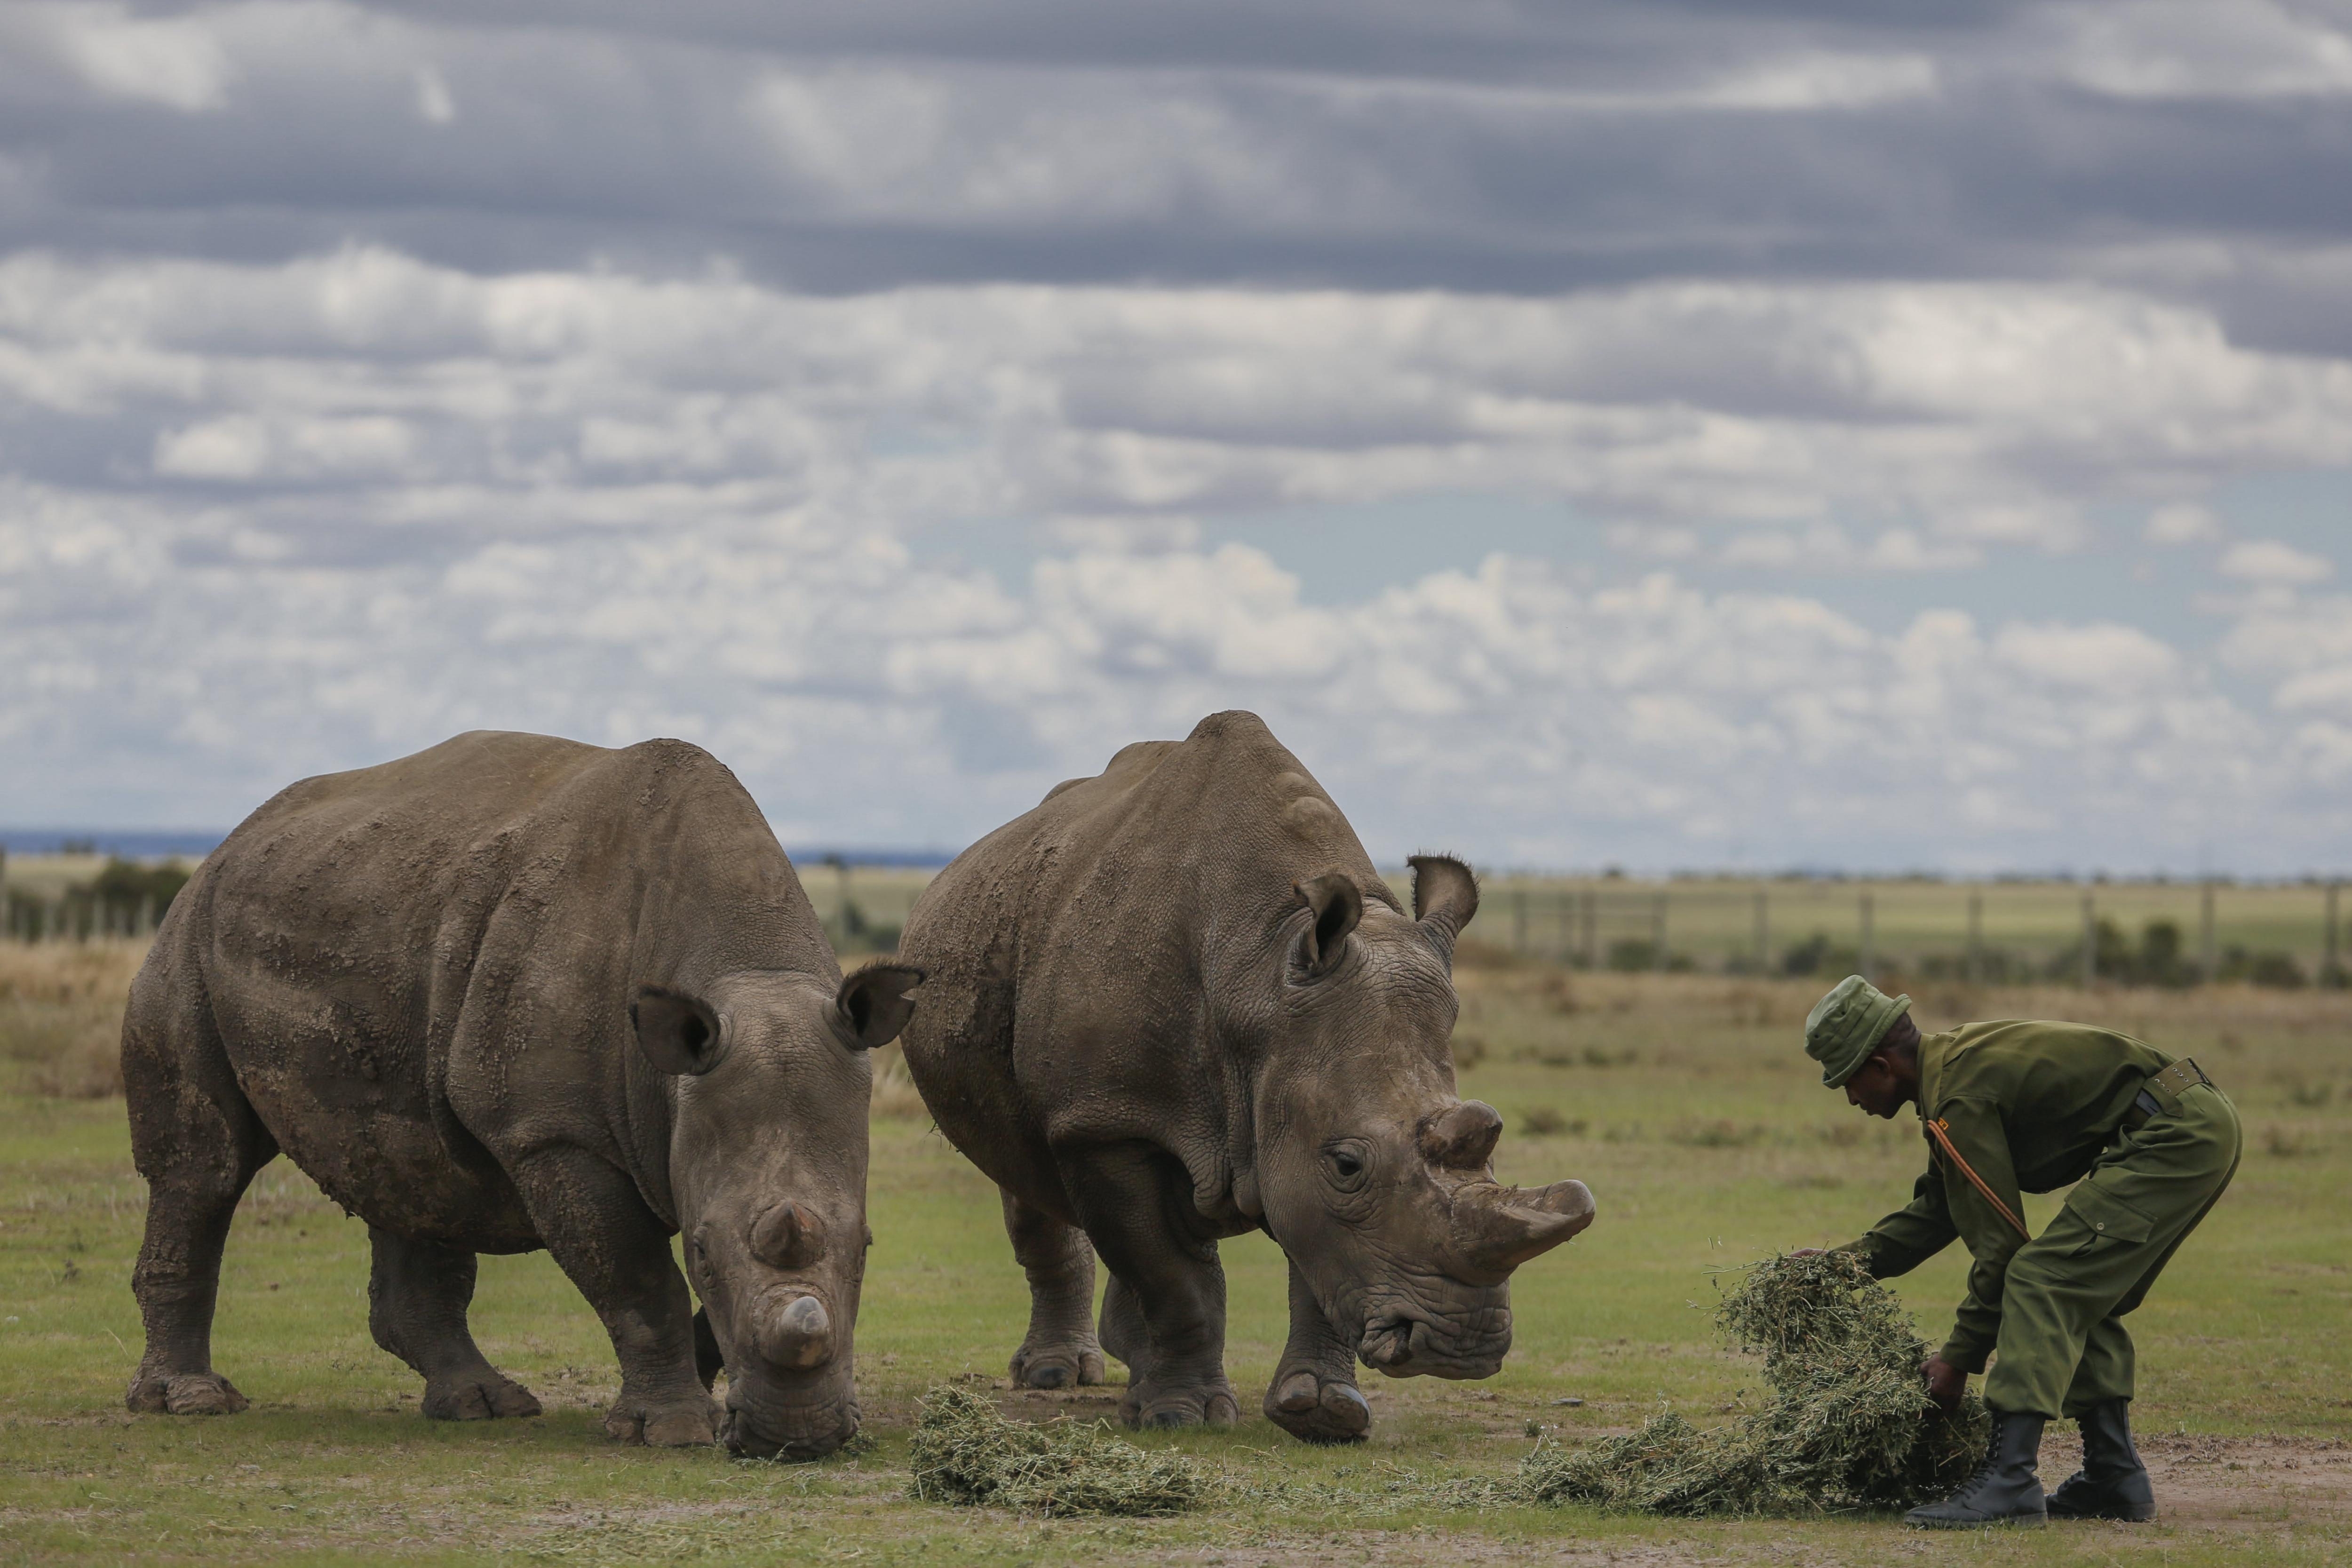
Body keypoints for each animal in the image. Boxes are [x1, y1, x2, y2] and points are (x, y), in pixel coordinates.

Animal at [889, 715, 1590, 1448]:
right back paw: (1058, 1376)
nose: (1462, 1347)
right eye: (1348, 1164)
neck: (1258, 975)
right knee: (1028, 1182)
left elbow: (1314, 1256)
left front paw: (1324, 1413)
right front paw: (1179, 1417)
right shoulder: (1108, 1121)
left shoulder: (1291, 1104)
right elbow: (1174, 1280)